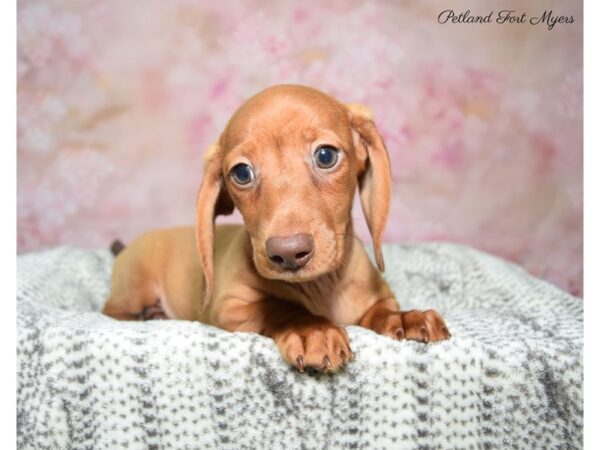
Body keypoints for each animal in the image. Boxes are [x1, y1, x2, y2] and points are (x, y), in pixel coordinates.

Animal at [104, 84, 450, 372]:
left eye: (326, 155)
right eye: (242, 173)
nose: (288, 254)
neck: (322, 287)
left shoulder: (377, 300)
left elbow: (380, 312)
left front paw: (405, 317)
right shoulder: (230, 308)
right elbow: (278, 306)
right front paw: (312, 329)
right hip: (132, 288)